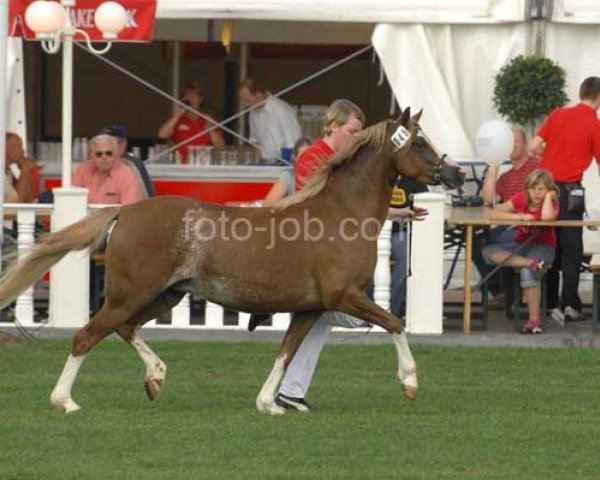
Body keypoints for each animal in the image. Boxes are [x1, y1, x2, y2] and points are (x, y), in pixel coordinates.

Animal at [0, 108, 464, 412]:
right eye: (421, 141)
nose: (456, 174)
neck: (340, 216)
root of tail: (126, 210)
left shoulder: (310, 308)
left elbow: (286, 352)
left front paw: (269, 403)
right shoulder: (344, 297)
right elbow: (395, 322)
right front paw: (409, 381)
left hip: (165, 295)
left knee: (125, 329)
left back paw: (156, 377)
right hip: (129, 294)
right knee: (87, 335)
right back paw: (65, 401)